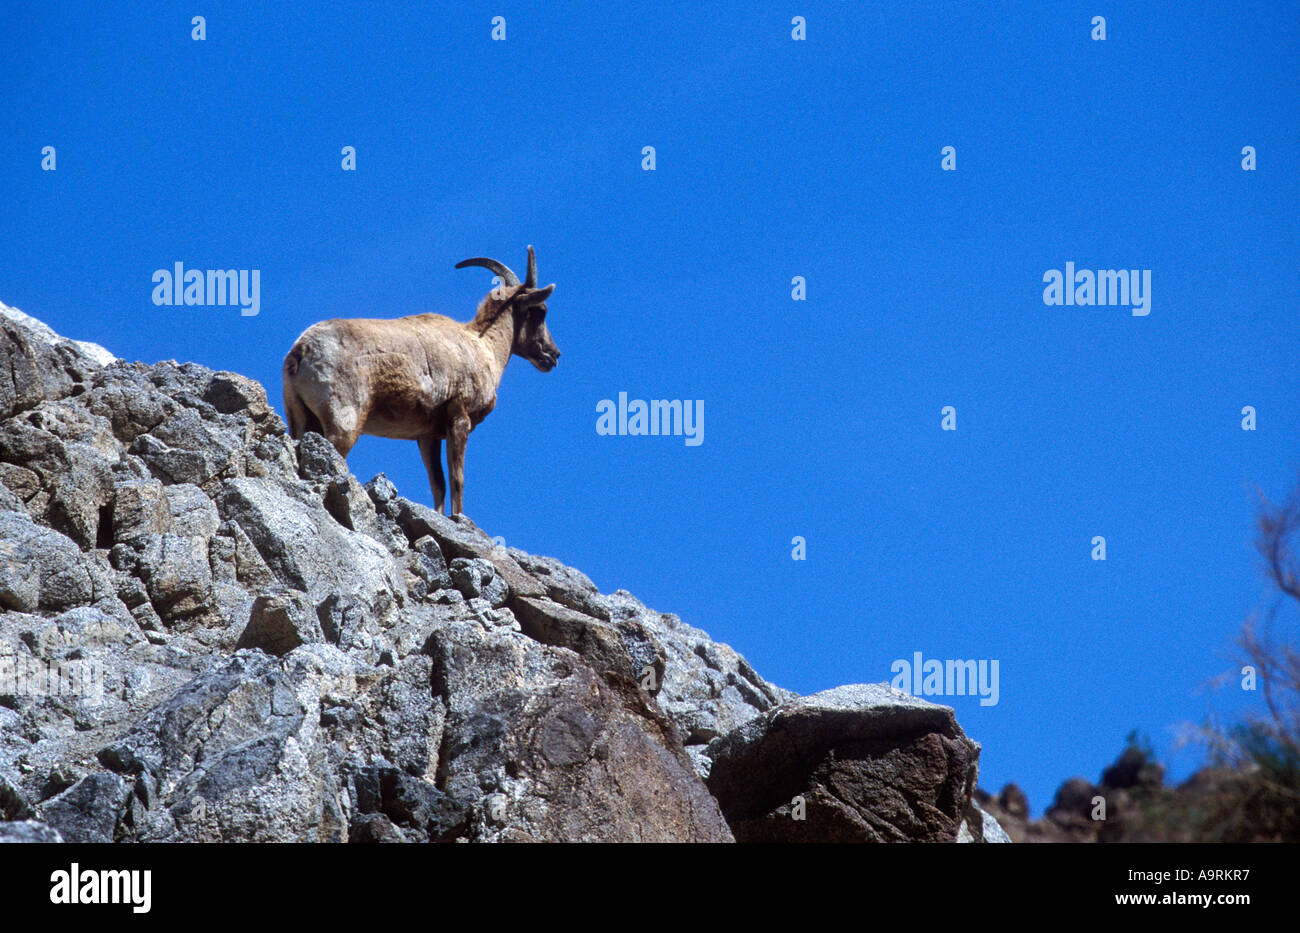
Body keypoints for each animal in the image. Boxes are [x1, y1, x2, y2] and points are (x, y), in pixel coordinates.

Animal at [282, 246, 560, 516]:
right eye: (540, 311)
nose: (553, 355)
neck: (482, 346)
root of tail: (300, 351)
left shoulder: (428, 435)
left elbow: (438, 484)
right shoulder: (459, 416)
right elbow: (457, 479)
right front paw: (459, 518)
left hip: (301, 419)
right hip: (343, 421)